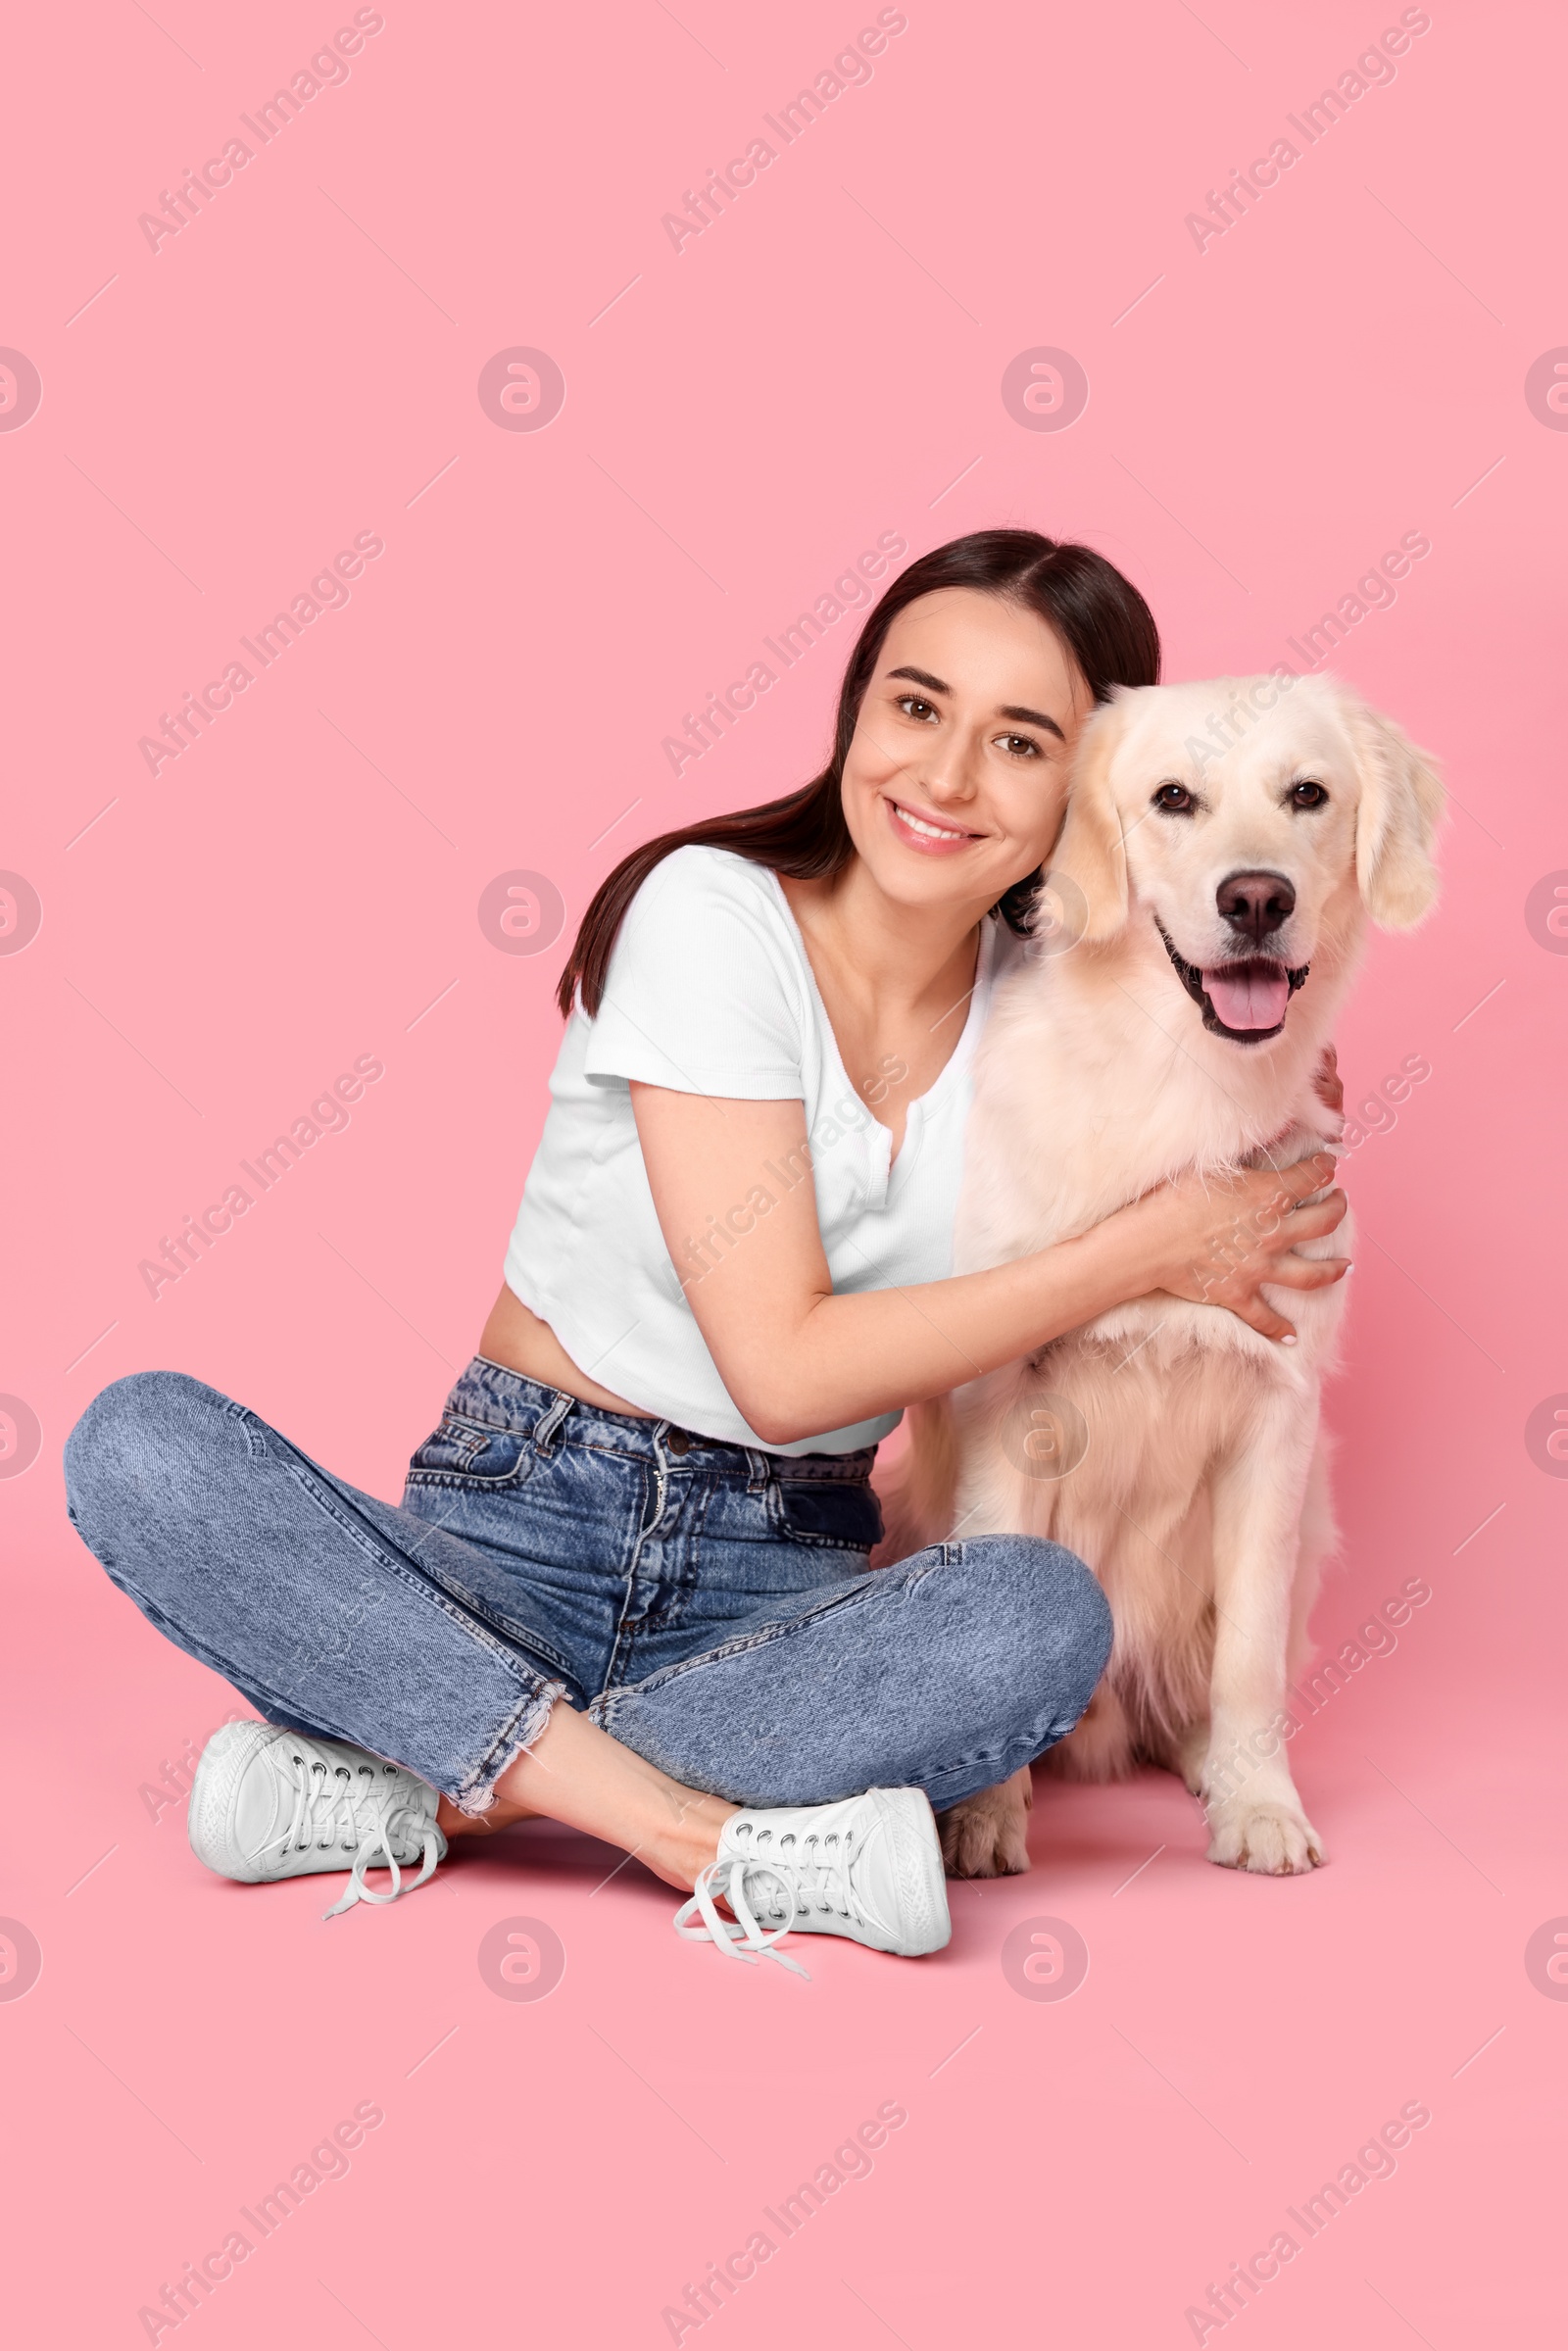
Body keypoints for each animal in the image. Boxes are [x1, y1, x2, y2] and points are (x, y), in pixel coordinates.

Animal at [879, 676, 1439, 1871]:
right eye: (1172, 798)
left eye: (1308, 794)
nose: (1257, 898)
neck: (1184, 1083)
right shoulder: (1008, 1406)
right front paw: (984, 1818)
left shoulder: (1277, 1421)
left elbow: (1249, 1658)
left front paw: (1259, 1802)